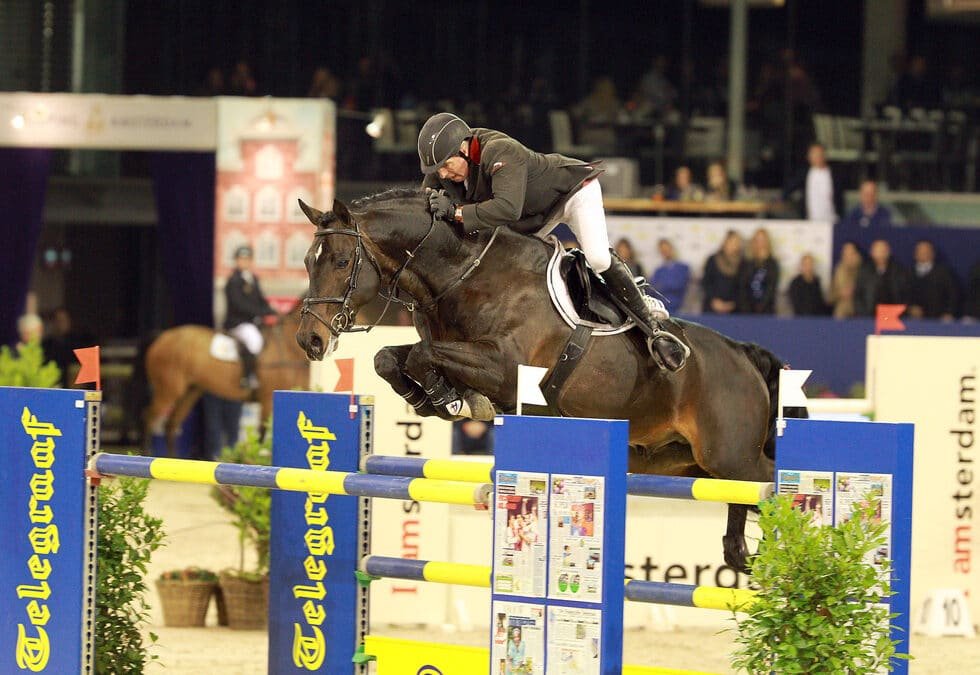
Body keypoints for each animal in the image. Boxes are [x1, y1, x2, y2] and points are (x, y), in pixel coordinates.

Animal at [144, 300, 309, 456]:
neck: (288, 347)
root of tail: (162, 339)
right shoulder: (267, 399)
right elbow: (262, 434)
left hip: (190, 392)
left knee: (170, 425)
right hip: (168, 391)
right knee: (148, 418)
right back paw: (146, 453)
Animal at [294, 190, 797, 572]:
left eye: (341, 261)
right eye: (307, 262)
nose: (310, 341)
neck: (462, 275)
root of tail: (742, 354)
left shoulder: (506, 370)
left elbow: (421, 355)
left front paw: (452, 399)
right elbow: (388, 358)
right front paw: (436, 399)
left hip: (728, 455)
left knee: (773, 486)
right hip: (686, 463)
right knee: (744, 502)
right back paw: (742, 554)